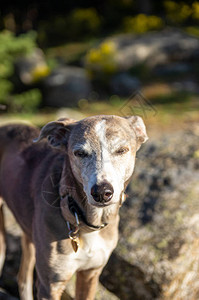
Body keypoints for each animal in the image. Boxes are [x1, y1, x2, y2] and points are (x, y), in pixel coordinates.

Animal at [0, 115, 148, 300]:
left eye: (121, 150)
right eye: (80, 153)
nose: (101, 192)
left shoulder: (91, 273)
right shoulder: (51, 285)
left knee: (23, 277)